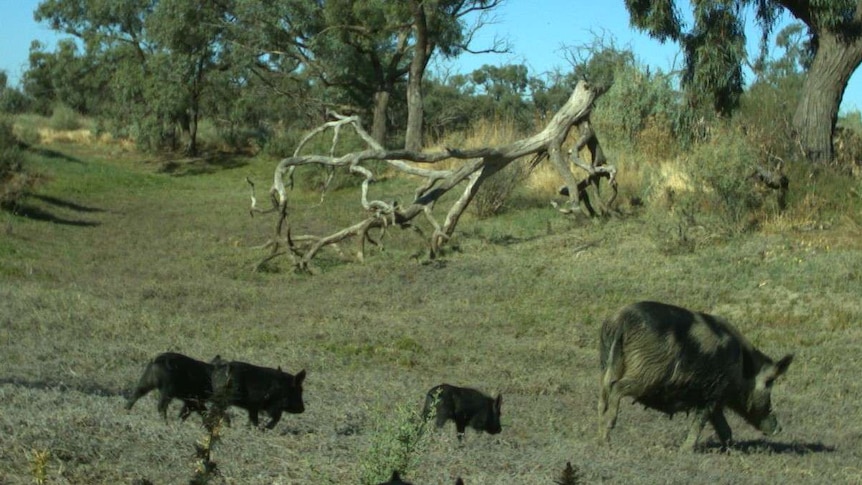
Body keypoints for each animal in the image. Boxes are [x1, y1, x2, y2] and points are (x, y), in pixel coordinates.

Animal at [600, 302, 796, 450]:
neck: (741, 367)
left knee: (603, 397)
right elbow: (700, 422)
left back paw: (600, 437)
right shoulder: (711, 394)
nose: (779, 428)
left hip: (606, 366)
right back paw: (608, 438)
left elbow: (724, 428)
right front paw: (685, 450)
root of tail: (621, 321)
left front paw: (730, 450)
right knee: (617, 388)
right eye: (769, 382)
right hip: (645, 372)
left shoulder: (716, 400)